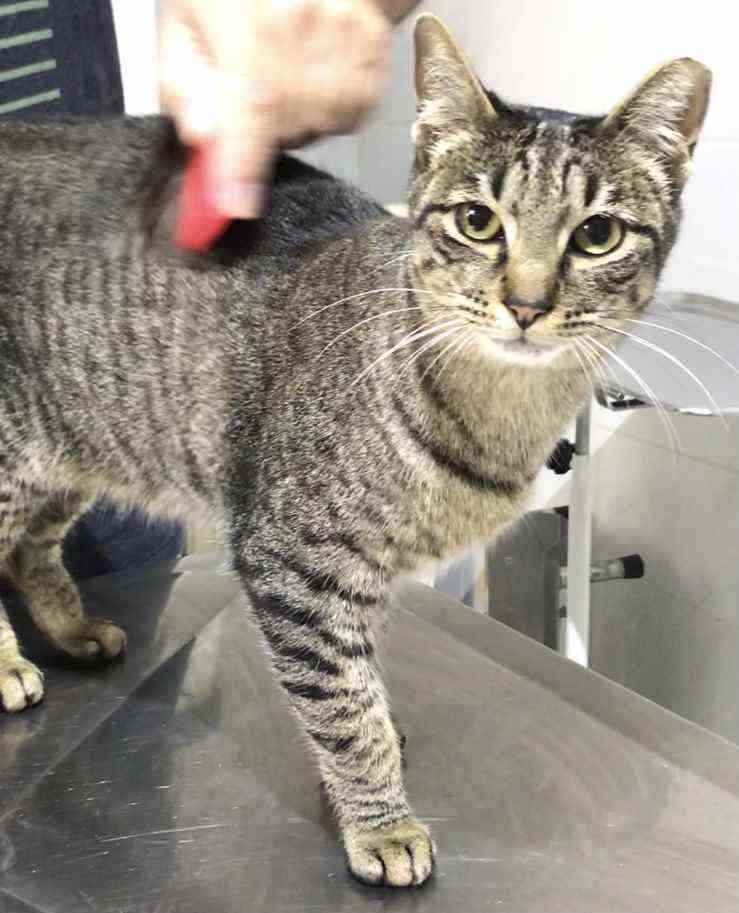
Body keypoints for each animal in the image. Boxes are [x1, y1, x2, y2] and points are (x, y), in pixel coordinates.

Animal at [0, 13, 710, 888]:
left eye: (597, 234)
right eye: (477, 221)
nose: (525, 303)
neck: (492, 417)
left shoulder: (358, 572)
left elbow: (358, 674)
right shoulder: (294, 560)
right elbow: (341, 702)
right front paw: (380, 819)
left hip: (75, 449)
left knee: (27, 549)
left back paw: (71, 631)